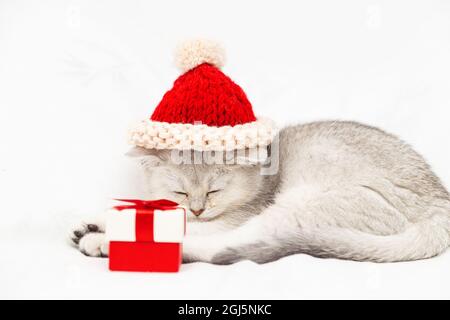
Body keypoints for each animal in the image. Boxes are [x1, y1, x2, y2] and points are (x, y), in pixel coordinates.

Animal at [70, 121, 450, 264]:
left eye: (214, 191)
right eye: (180, 192)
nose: (197, 209)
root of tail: (440, 202)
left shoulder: (236, 216)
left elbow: (177, 224)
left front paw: (102, 231)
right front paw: (94, 220)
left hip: (301, 206)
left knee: (221, 247)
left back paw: (104, 245)